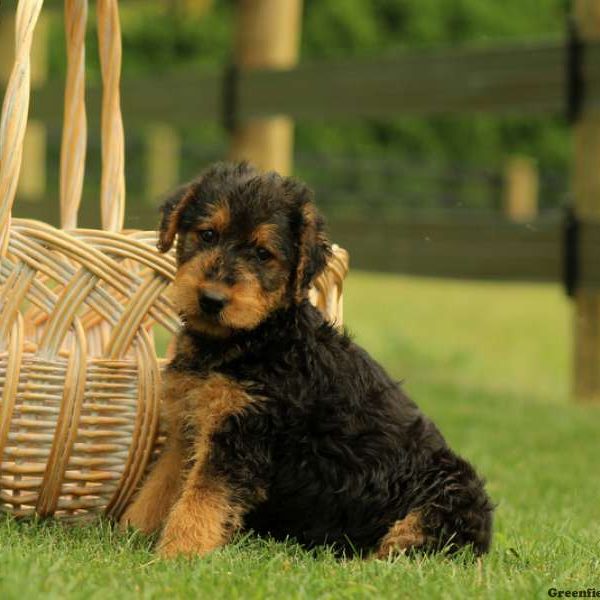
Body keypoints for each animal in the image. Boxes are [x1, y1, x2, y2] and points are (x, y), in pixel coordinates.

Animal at [120, 163, 492, 556]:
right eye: (207, 234)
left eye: (262, 253)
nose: (212, 299)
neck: (255, 339)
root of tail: (487, 535)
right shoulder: (188, 429)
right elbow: (160, 489)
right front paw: (128, 536)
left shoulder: (240, 435)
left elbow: (202, 501)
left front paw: (178, 554)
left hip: (444, 500)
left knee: (405, 553)